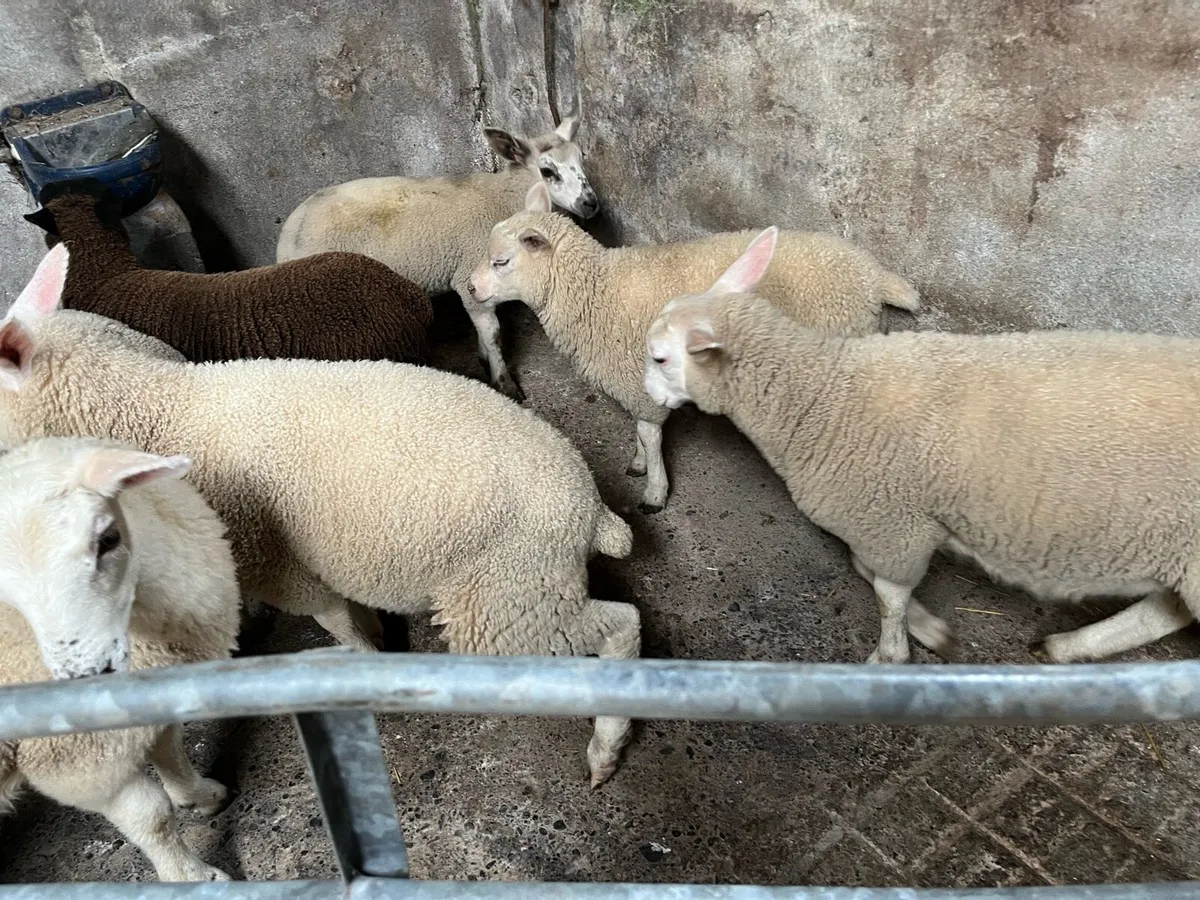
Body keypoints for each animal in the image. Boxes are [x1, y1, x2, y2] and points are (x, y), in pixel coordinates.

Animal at [0, 244, 641, 787]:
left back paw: (606, 747)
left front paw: (366, 661)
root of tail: (590, 508)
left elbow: (333, 619)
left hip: (508, 595)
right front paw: (377, 633)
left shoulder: (272, 561)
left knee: (622, 627)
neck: (156, 412)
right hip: (529, 588)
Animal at [0, 435, 239, 881]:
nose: (88, 675)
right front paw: (193, 879)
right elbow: (152, 817)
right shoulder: (79, 763)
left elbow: (171, 748)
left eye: (108, 539)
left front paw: (198, 796)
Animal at [276, 114, 599, 402]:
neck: (503, 196)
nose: (591, 203)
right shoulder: (468, 271)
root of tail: (285, 239)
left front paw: (484, 358)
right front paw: (504, 382)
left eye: (582, 159)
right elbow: (493, 333)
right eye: (548, 172)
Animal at [468, 182, 921, 512]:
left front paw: (654, 491)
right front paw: (637, 464)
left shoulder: (640, 380)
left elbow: (651, 437)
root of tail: (875, 277)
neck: (594, 291)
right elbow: (640, 430)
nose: (470, 288)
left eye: (501, 262)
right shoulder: (637, 382)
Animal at [644, 226, 1200, 665]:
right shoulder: (896, 525)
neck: (824, 395)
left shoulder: (891, 522)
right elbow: (865, 570)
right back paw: (1067, 646)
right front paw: (928, 628)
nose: (646, 395)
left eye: (661, 359)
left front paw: (894, 652)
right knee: (1162, 613)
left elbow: (885, 593)